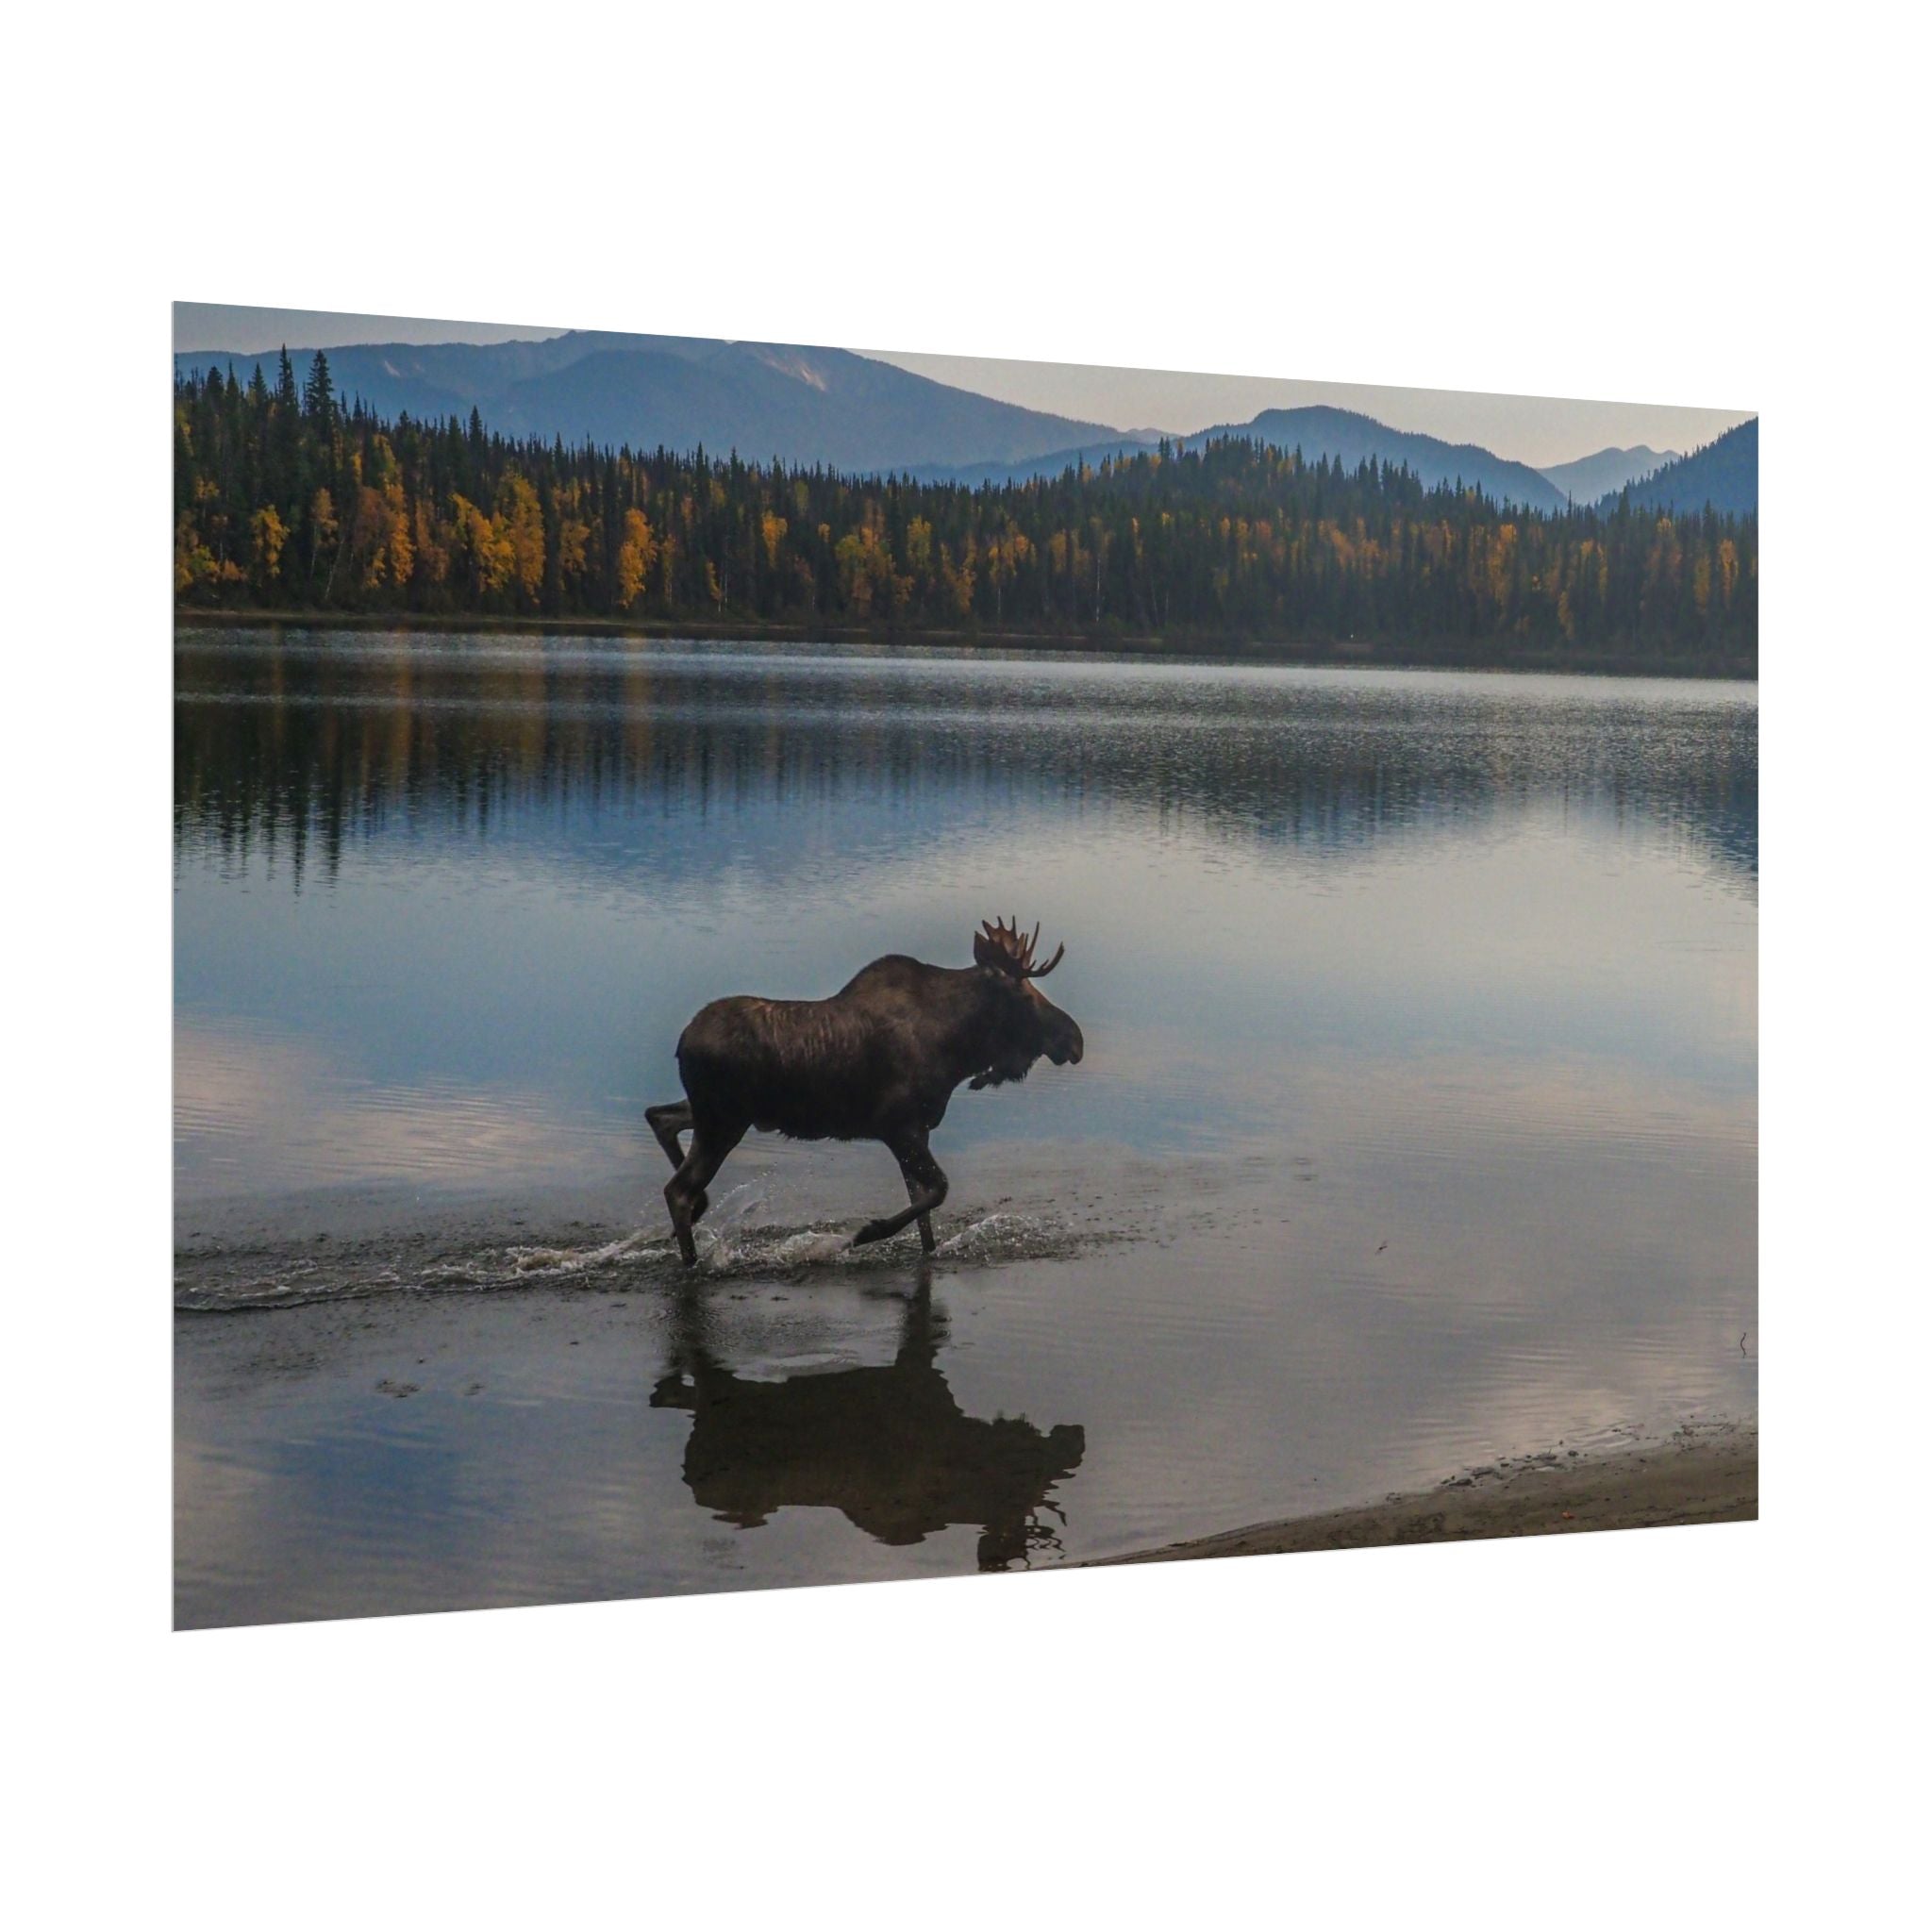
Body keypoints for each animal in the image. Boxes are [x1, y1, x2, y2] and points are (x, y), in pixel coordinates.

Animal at [646, 918, 1085, 1266]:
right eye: (1024, 995)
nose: (1075, 1040)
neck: (957, 1049)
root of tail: (682, 1043)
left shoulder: (917, 1131)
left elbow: (924, 1212)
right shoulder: (898, 1126)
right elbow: (938, 1191)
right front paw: (864, 1233)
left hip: (716, 1114)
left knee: (660, 1117)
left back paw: (699, 1212)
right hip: (723, 1122)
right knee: (677, 1189)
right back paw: (692, 1259)